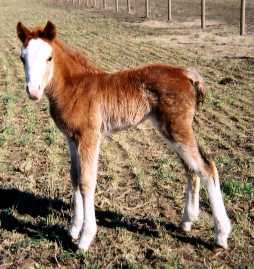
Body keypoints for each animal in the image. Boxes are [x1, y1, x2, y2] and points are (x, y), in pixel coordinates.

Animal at [15, 21, 230, 251]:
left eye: (49, 57)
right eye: (22, 58)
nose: (33, 91)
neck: (74, 88)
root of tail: (186, 74)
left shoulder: (90, 137)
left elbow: (86, 182)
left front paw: (85, 238)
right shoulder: (71, 138)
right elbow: (74, 178)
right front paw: (73, 229)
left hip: (176, 129)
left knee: (207, 168)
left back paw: (221, 235)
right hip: (171, 131)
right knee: (191, 169)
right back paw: (187, 221)